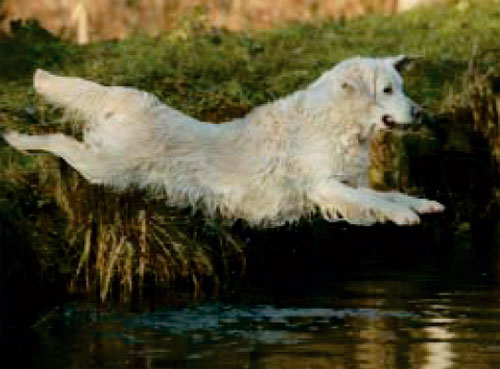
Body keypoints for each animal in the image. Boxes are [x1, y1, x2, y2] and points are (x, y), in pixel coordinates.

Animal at [2, 56, 442, 226]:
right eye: (387, 90)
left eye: (401, 87)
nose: (420, 112)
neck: (339, 124)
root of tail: (130, 98)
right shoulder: (324, 185)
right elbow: (376, 200)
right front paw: (404, 216)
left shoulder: (351, 182)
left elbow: (389, 193)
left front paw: (422, 204)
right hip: (104, 166)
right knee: (60, 140)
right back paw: (19, 138)